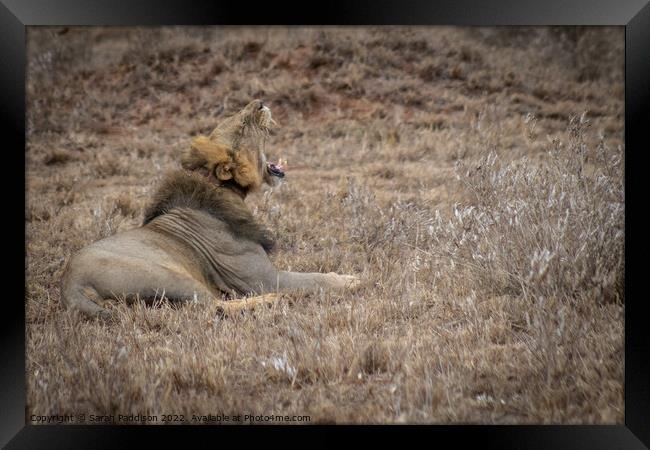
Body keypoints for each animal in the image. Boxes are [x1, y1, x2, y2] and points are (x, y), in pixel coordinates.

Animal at [60, 99, 360, 320]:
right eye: (242, 125)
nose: (260, 103)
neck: (226, 191)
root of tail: (71, 285)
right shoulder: (264, 278)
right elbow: (315, 279)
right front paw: (351, 280)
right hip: (168, 275)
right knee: (212, 307)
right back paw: (272, 301)